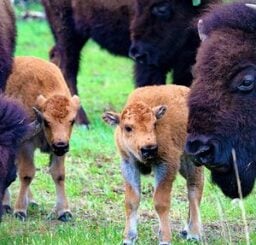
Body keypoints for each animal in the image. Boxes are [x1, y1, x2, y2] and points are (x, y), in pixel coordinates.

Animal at [3, 57, 80, 222]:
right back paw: (6, 204)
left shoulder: (59, 152)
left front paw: (64, 212)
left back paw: (31, 201)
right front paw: (20, 211)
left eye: (72, 121)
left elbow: (59, 175)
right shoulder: (26, 146)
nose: (60, 145)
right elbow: (27, 174)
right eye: (46, 121)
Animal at [41, 0, 219, 125]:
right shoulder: (151, 65)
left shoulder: (187, 61)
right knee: (67, 66)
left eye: (161, 8)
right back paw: (82, 122)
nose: (136, 53)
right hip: (67, 28)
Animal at [102, 84, 204, 245]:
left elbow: (160, 202)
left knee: (194, 189)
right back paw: (186, 230)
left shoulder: (165, 165)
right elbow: (131, 201)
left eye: (154, 124)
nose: (148, 149)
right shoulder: (128, 164)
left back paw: (193, 233)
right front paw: (128, 238)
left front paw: (165, 239)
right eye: (128, 127)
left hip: (192, 160)